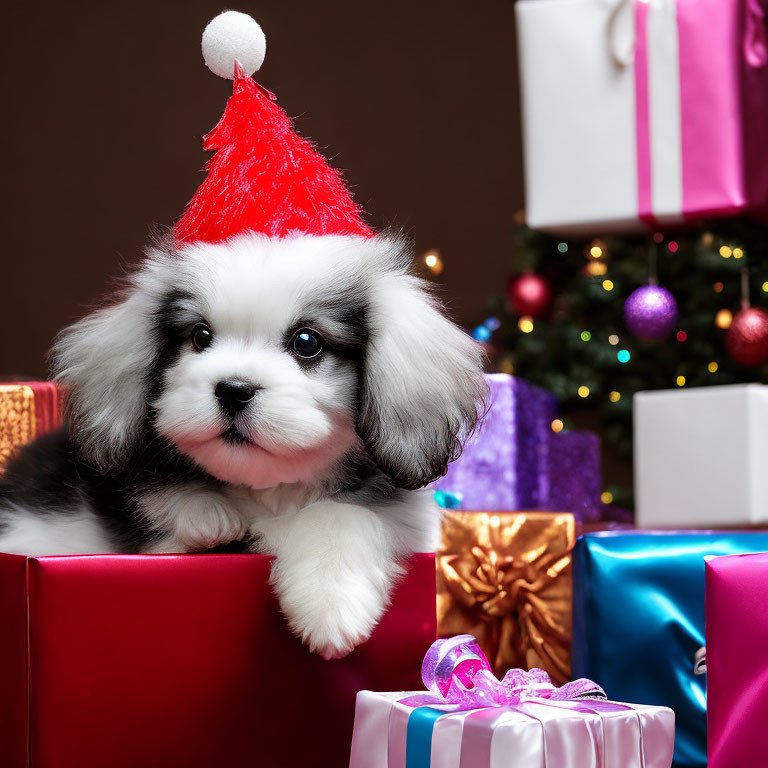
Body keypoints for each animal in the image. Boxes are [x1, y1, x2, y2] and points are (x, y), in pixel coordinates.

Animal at [0, 231, 486, 656]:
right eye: (200, 336)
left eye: (306, 342)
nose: (233, 389)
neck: (269, 489)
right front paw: (206, 514)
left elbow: (338, 514)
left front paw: (331, 602)